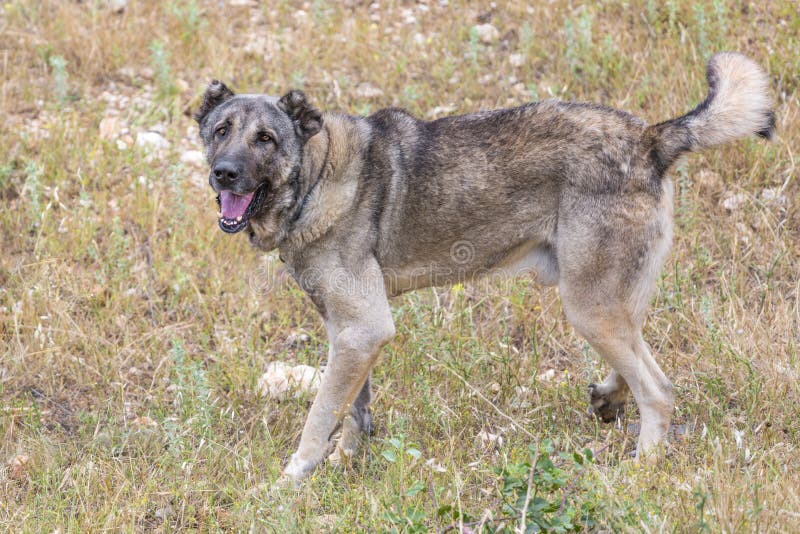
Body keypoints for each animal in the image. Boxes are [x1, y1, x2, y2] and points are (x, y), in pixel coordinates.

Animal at [194, 52, 776, 484]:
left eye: (265, 139)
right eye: (221, 131)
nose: (224, 174)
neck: (316, 175)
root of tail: (651, 138)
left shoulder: (363, 329)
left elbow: (319, 417)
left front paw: (293, 479)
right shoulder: (349, 333)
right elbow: (353, 410)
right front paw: (345, 464)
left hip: (588, 306)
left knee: (659, 389)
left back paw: (642, 468)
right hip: (606, 300)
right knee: (640, 357)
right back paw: (609, 398)